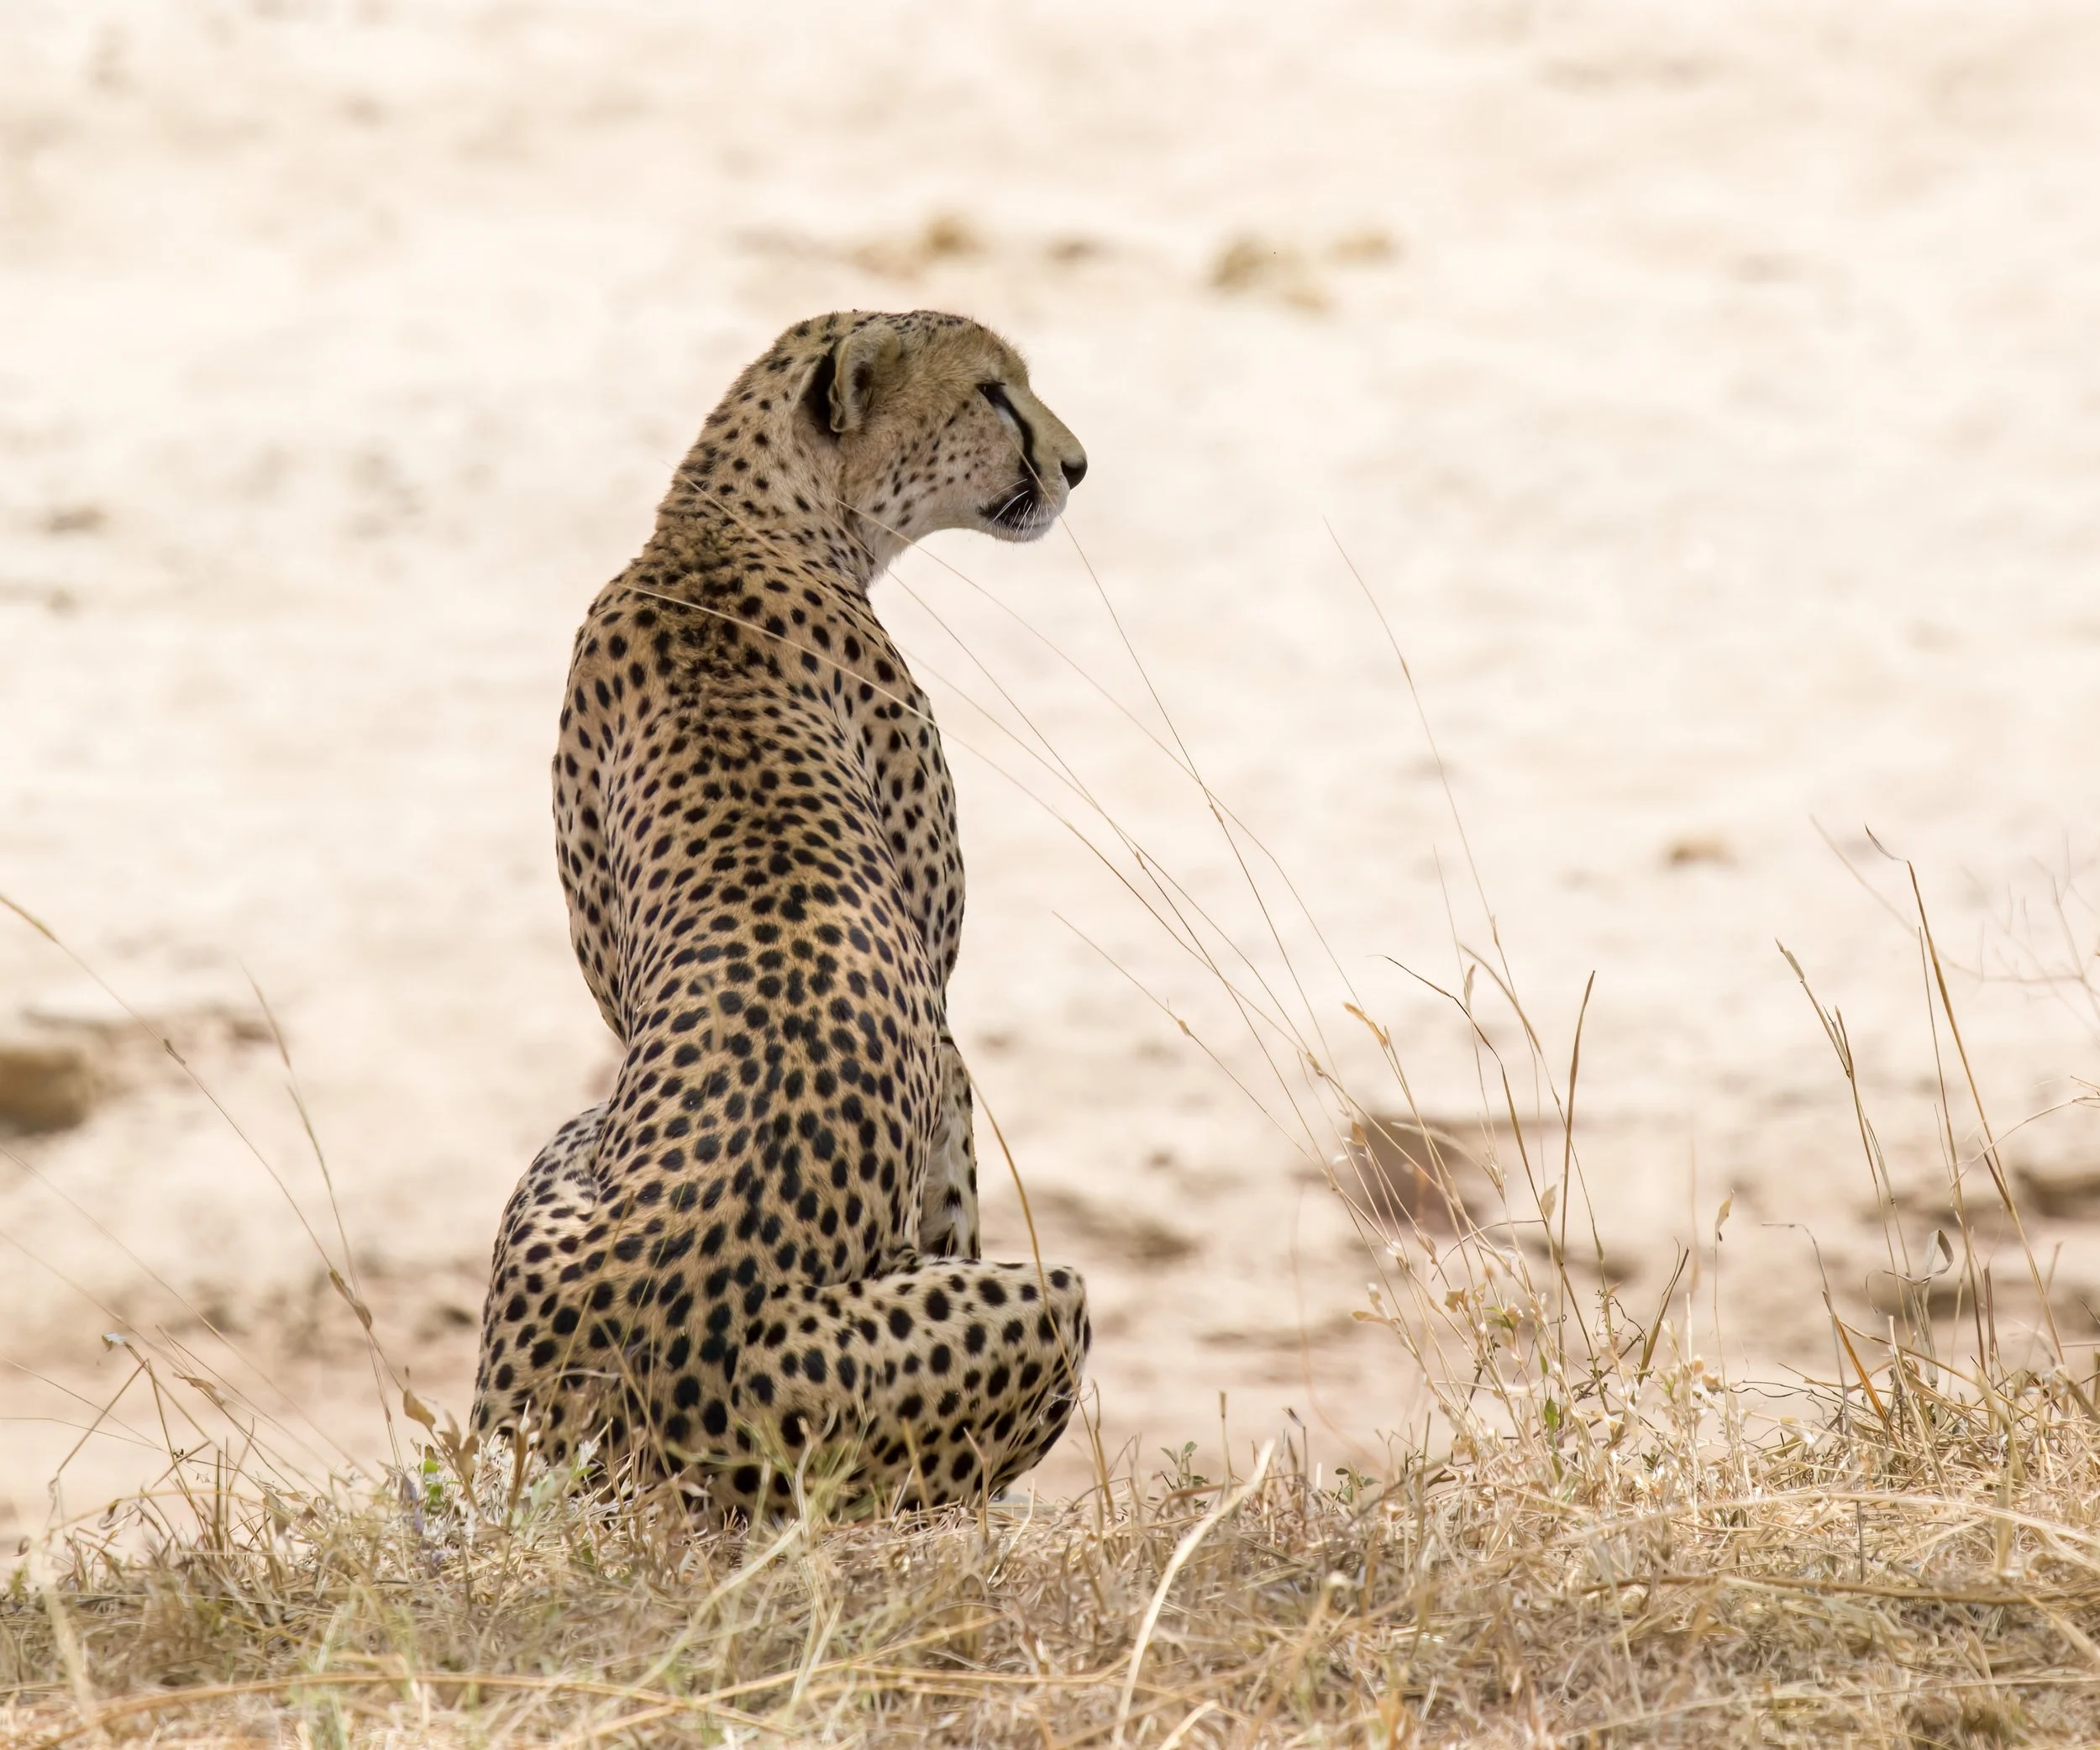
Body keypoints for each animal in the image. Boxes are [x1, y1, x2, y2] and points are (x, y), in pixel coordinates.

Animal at [472, 310, 1093, 1519]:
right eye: (993, 393)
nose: (1077, 464)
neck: (723, 524)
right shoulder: (940, 1020)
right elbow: (955, 1175)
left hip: (560, 1175)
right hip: (1041, 1306)